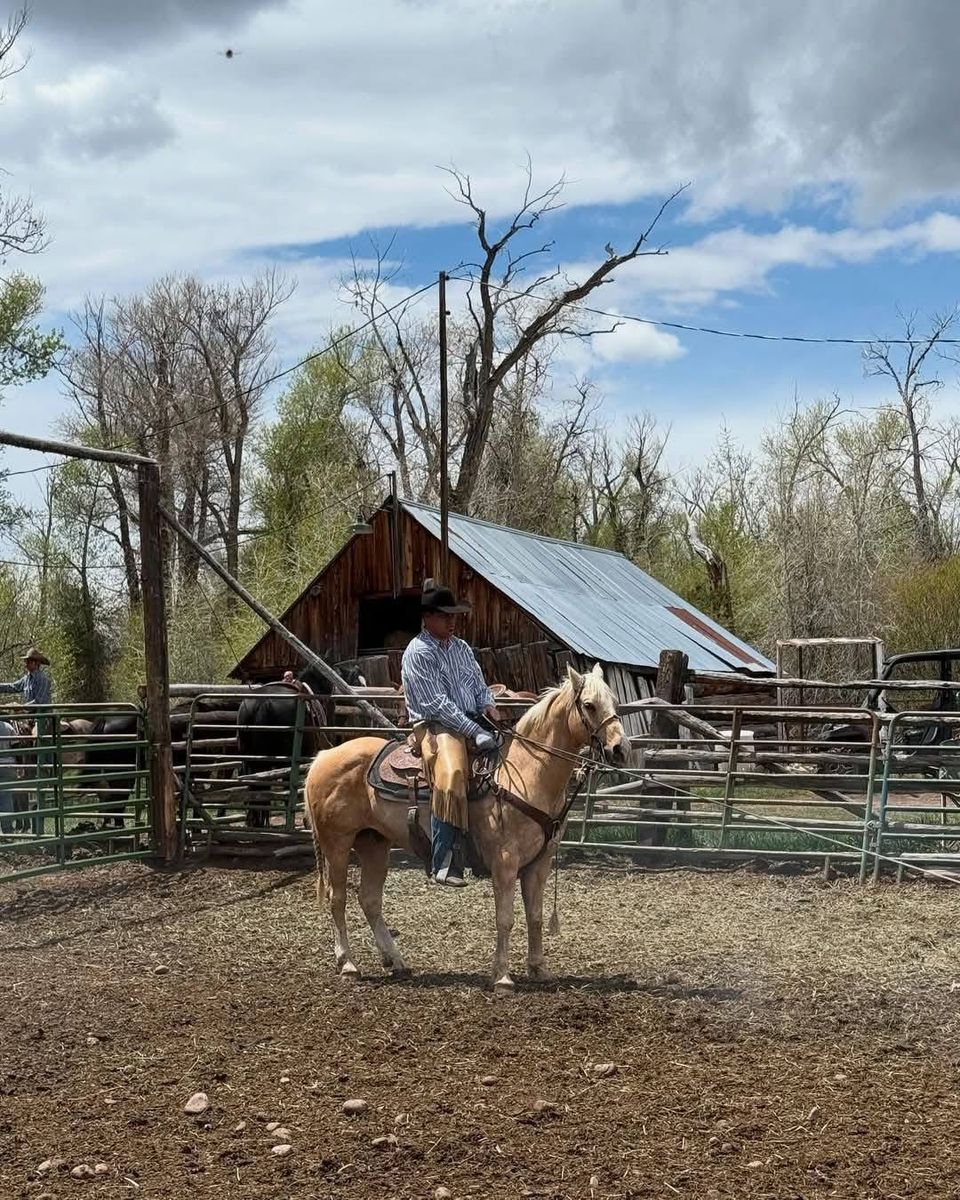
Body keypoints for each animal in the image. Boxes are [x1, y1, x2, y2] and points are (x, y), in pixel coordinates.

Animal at [303, 664, 627, 992]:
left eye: (614, 700)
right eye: (589, 705)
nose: (619, 749)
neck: (526, 772)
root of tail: (322, 758)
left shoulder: (540, 862)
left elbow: (534, 915)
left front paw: (539, 968)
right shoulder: (505, 862)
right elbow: (505, 918)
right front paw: (502, 977)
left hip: (374, 844)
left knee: (369, 899)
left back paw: (396, 961)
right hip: (337, 844)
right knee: (337, 898)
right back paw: (348, 964)